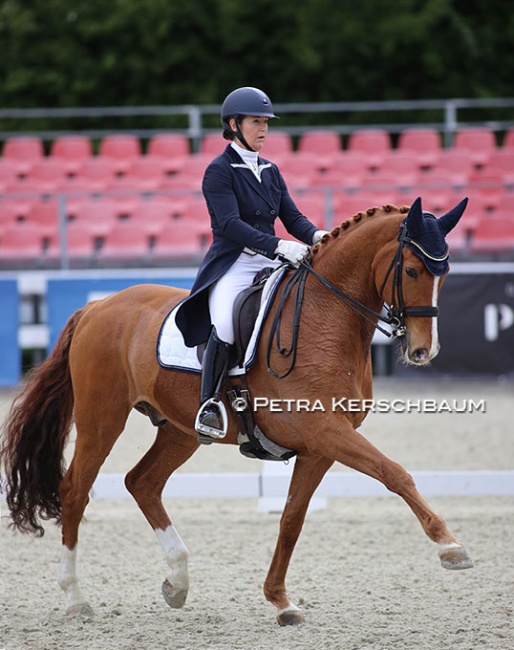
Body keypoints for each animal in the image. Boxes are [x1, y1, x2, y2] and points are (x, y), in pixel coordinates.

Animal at [1, 196, 472, 624]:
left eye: (445, 274)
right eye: (411, 270)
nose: (423, 351)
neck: (326, 317)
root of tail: (97, 306)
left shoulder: (320, 446)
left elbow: (291, 519)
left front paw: (282, 602)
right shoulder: (325, 430)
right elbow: (395, 473)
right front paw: (451, 547)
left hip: (179, 430)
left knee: (142, 482)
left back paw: (178, 582)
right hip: (103, 418)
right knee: (75, 490)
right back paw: (75, 598)